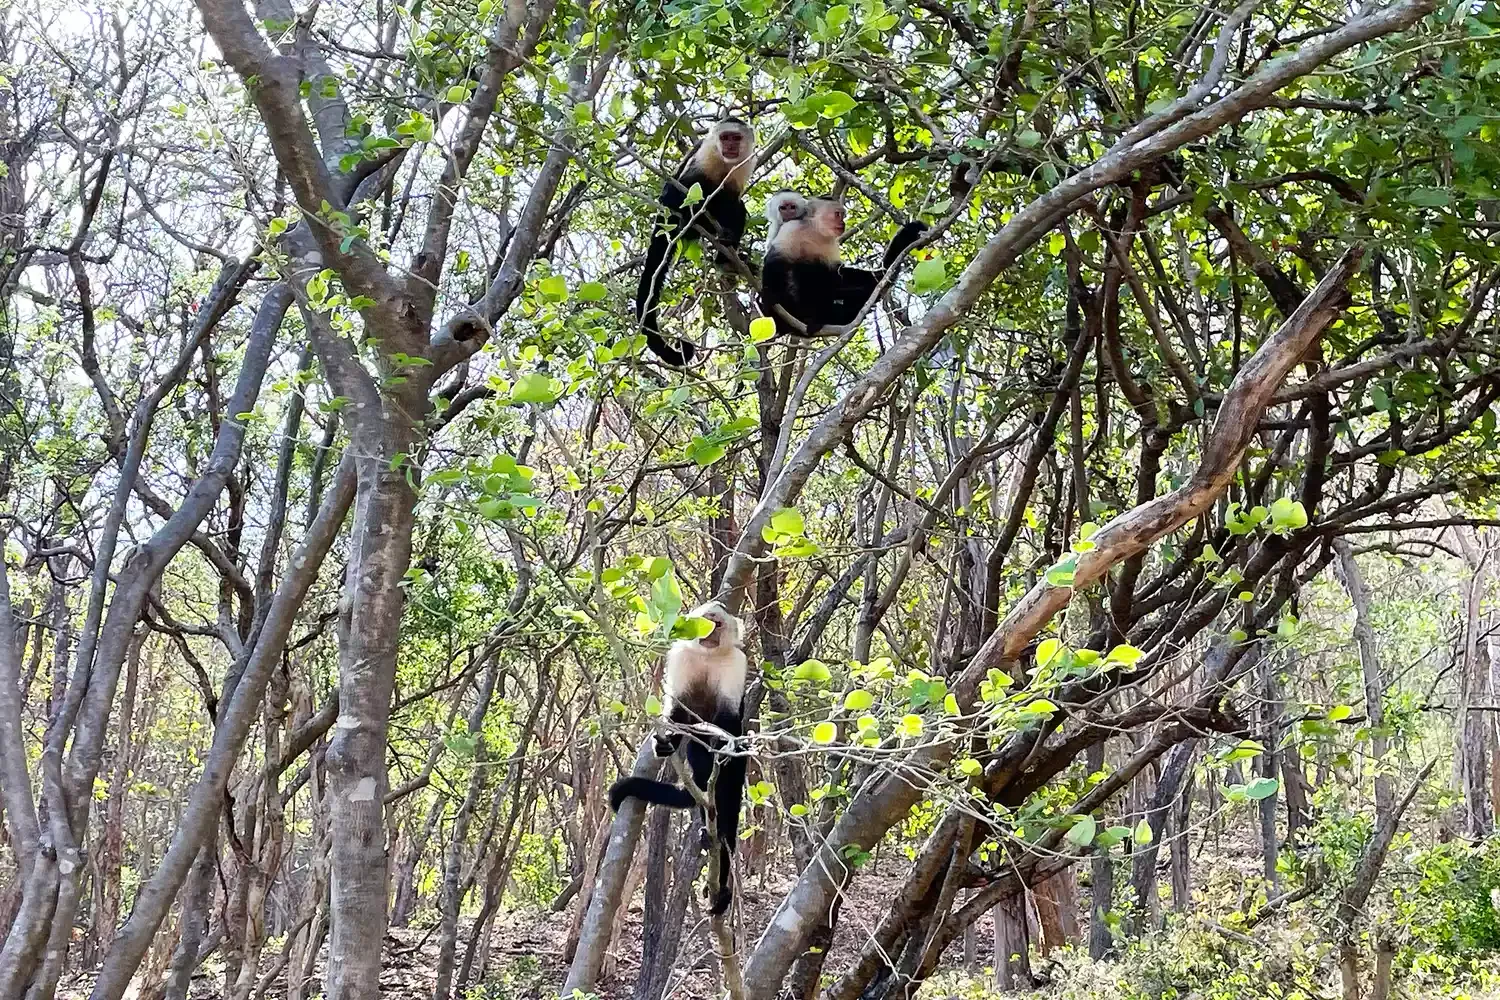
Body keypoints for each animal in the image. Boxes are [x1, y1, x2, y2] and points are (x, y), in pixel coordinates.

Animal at [606, 602, 747, 917]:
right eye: (706, 618)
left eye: (719, 621)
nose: (711, 625)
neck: (708, 656)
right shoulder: (681, 657)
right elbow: (679, 713)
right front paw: (665, 743)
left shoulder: (737, 663)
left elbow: (728, 721)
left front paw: (722, 743)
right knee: (699, 764)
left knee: (728, 802)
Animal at [633, 119, 756, 365]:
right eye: (725, 137)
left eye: (735, 138)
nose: (729, 146)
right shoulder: (704, 153)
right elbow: (683, 186)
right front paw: (690, 203)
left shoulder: (745, 163)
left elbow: (733, 198)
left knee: (735, 205)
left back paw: (727, 257)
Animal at [762, 199, 924, 340]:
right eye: (838, 214)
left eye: (842, 215)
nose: (843, 223)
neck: (814, 232)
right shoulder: (792, 228)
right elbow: (775, 259)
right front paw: (769, 295)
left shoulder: (831, 244)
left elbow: (836, 274)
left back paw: (826, 315)